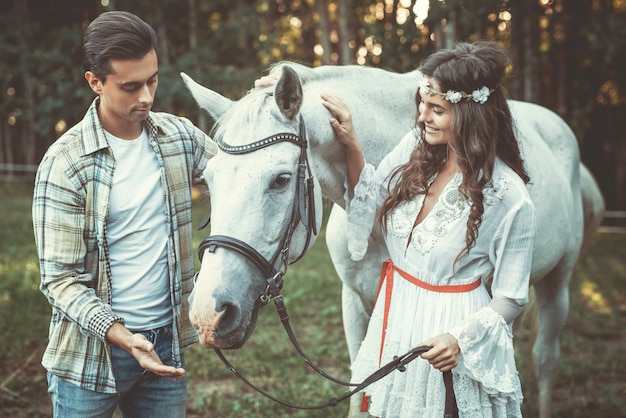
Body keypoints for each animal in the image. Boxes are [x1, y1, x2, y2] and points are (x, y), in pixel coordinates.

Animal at [183, 62, 604, 418]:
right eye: (208, 180)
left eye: (281, 179)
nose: (208, 313)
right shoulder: (354, 302)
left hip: (555, 283)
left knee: (545, 359)